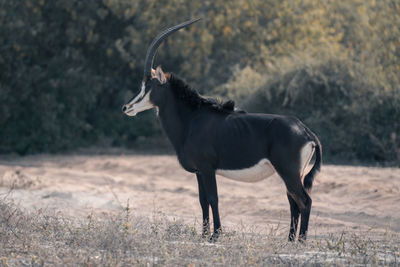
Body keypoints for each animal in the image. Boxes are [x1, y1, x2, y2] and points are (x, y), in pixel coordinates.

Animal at [122, 18, 322, 243]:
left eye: (149, 86)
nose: (126, 107)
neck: (191, 119)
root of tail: (306, 131)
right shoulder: (199, 172)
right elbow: (202, 201)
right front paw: (203, 235)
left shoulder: (208, 168)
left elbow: (213, 198)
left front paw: (215, 235)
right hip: (292, 174)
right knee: (293, 201)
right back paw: (289, 240)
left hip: (288, 172)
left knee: (304, 200)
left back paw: (301, 241)